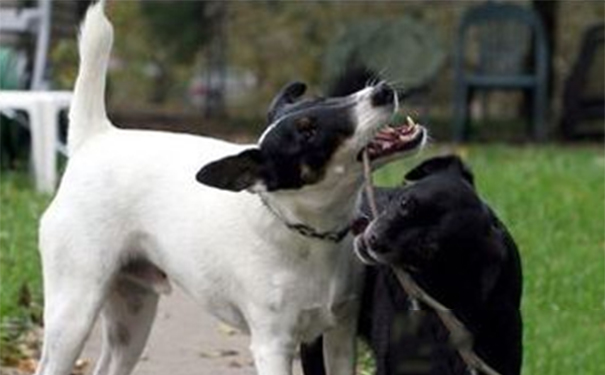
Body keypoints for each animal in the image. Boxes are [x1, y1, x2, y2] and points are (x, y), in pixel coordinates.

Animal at [35, 2, 428, 375]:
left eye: (326, 100)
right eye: (308, 130)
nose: (381, 91)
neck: (306, 233)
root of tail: (96, 138)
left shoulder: (339, 337)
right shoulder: (272, 345)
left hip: (131, 316)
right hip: (74, 311)